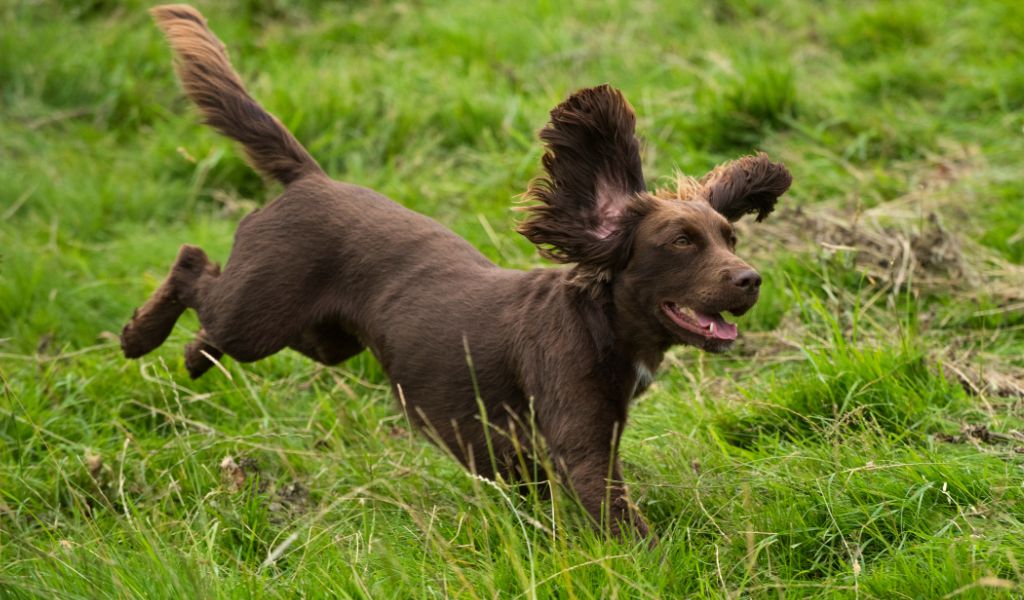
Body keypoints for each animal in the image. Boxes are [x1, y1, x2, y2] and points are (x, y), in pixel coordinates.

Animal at [121, 4, 790, 536]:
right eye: (681, 242)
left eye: (730, 237)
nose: (751, 279)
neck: (601, 323)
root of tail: (311, 179)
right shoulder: (581, 447)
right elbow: (621, 519)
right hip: (259, 316)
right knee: (192, 264)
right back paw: (140, 336)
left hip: (323, 338)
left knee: (216, 312)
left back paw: (194, 355)